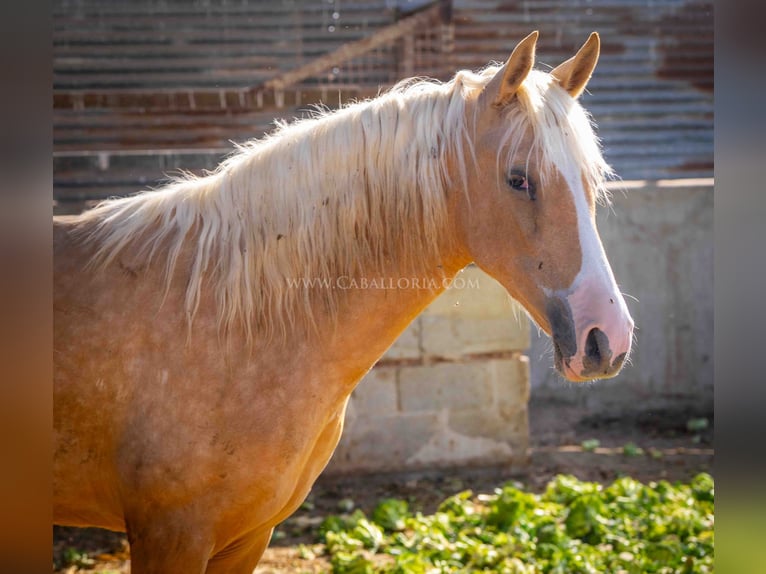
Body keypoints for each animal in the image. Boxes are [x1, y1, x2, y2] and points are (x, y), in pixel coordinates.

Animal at [54, 32, 636, 574]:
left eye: (591, 181)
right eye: (518, 179)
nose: (606, 337)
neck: (224, 319)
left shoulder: (246, 538)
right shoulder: (172, 536)